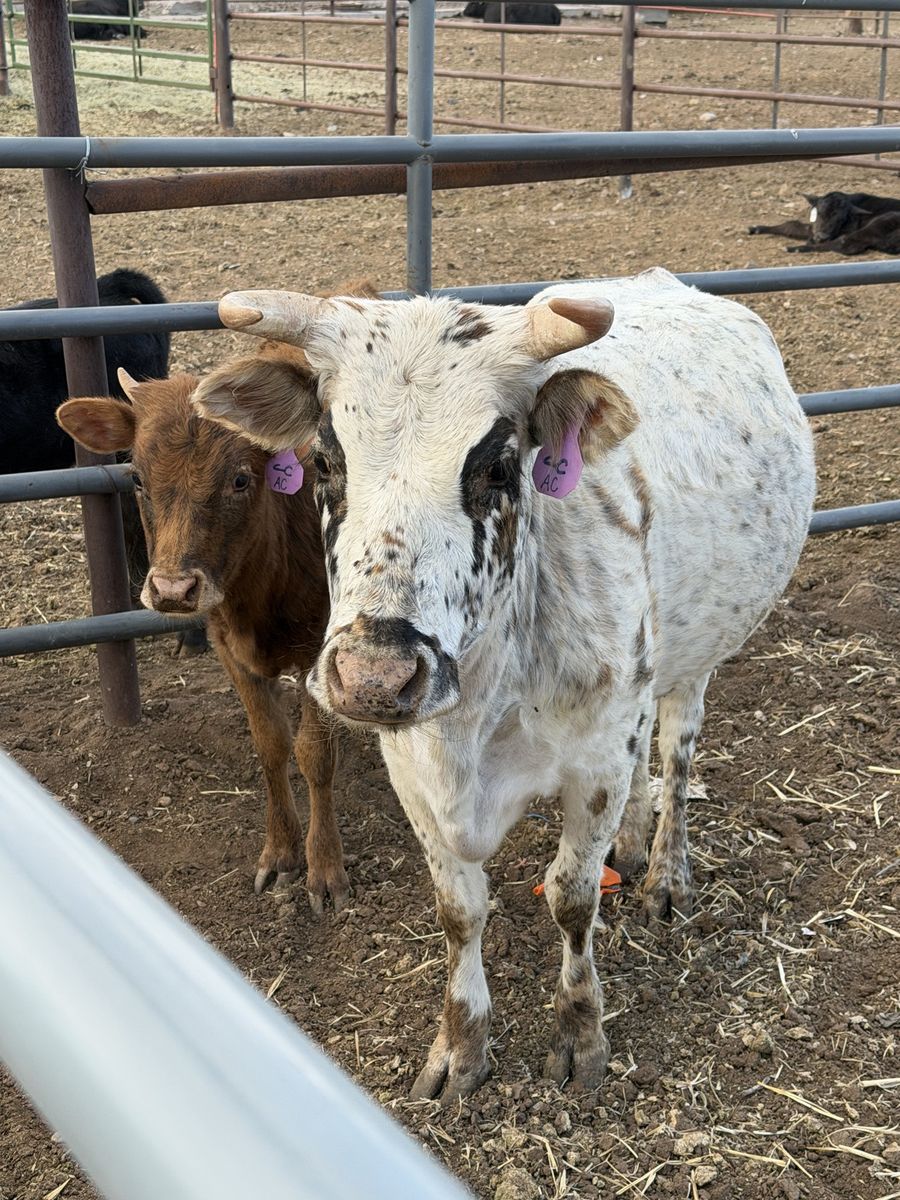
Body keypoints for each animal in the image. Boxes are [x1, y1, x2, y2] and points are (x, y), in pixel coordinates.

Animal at [56, 359, 349, 913]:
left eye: (240, 479)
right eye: (137, 477)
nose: (172, 590)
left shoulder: (320, 652)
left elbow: (315, 755)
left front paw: (324, 868)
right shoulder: (229, 647)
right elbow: (272, 744)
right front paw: (281, 854)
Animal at [192, 268, 815, 1099]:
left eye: (496, 465)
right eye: (324, 464)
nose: (375, 676)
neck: (484, 704)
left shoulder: (594, 765)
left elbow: (572, 898)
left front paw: (581, 1036)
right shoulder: (413, 769)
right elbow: (460, 911)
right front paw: (462, 1046)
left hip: (699, 655)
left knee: (677, 752)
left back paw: (666, 873)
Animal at [749, 190, 900, 252]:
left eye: (841, 219)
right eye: (819, 212)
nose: (822, 237)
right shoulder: (813, 229)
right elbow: (792, 225)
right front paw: (756, 228)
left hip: (879, 223)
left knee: (844, 244)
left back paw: (795, 248)